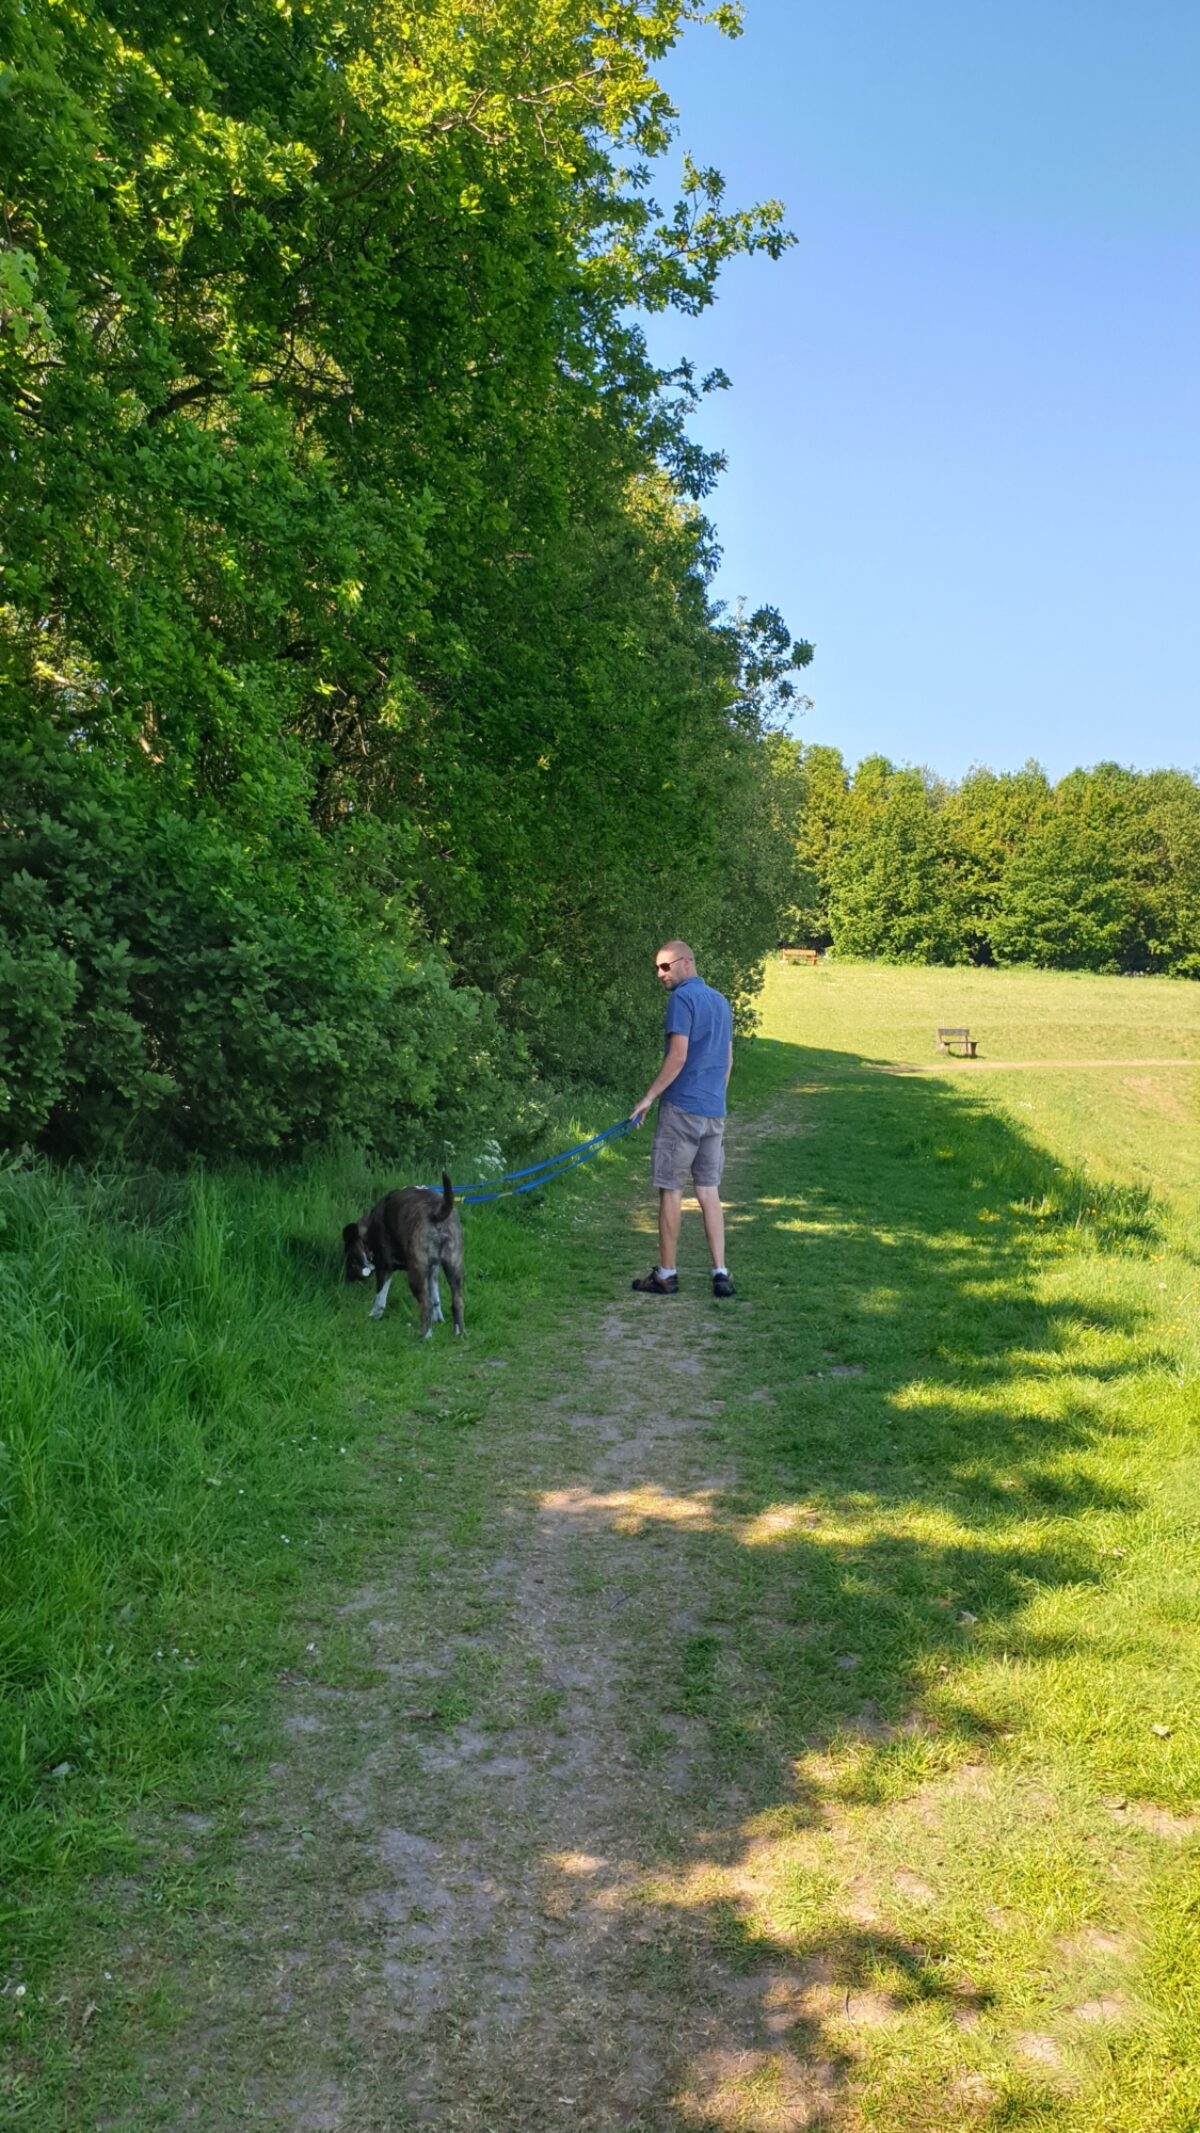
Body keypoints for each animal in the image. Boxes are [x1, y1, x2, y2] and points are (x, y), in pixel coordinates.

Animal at [345, 1177, 466, 1339]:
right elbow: (435, 1297)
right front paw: (438, 1318)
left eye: (350, 1259)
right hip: (454, 1267)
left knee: (425, 1303)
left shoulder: (384, 1265)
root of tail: (436, 1213)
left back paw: (425, 1336)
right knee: (457, 1301)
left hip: (416, 1273)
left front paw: (374, 1315)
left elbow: (380, 1295)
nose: (348, 1278)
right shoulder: (433, 1271)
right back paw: (459, 1333)